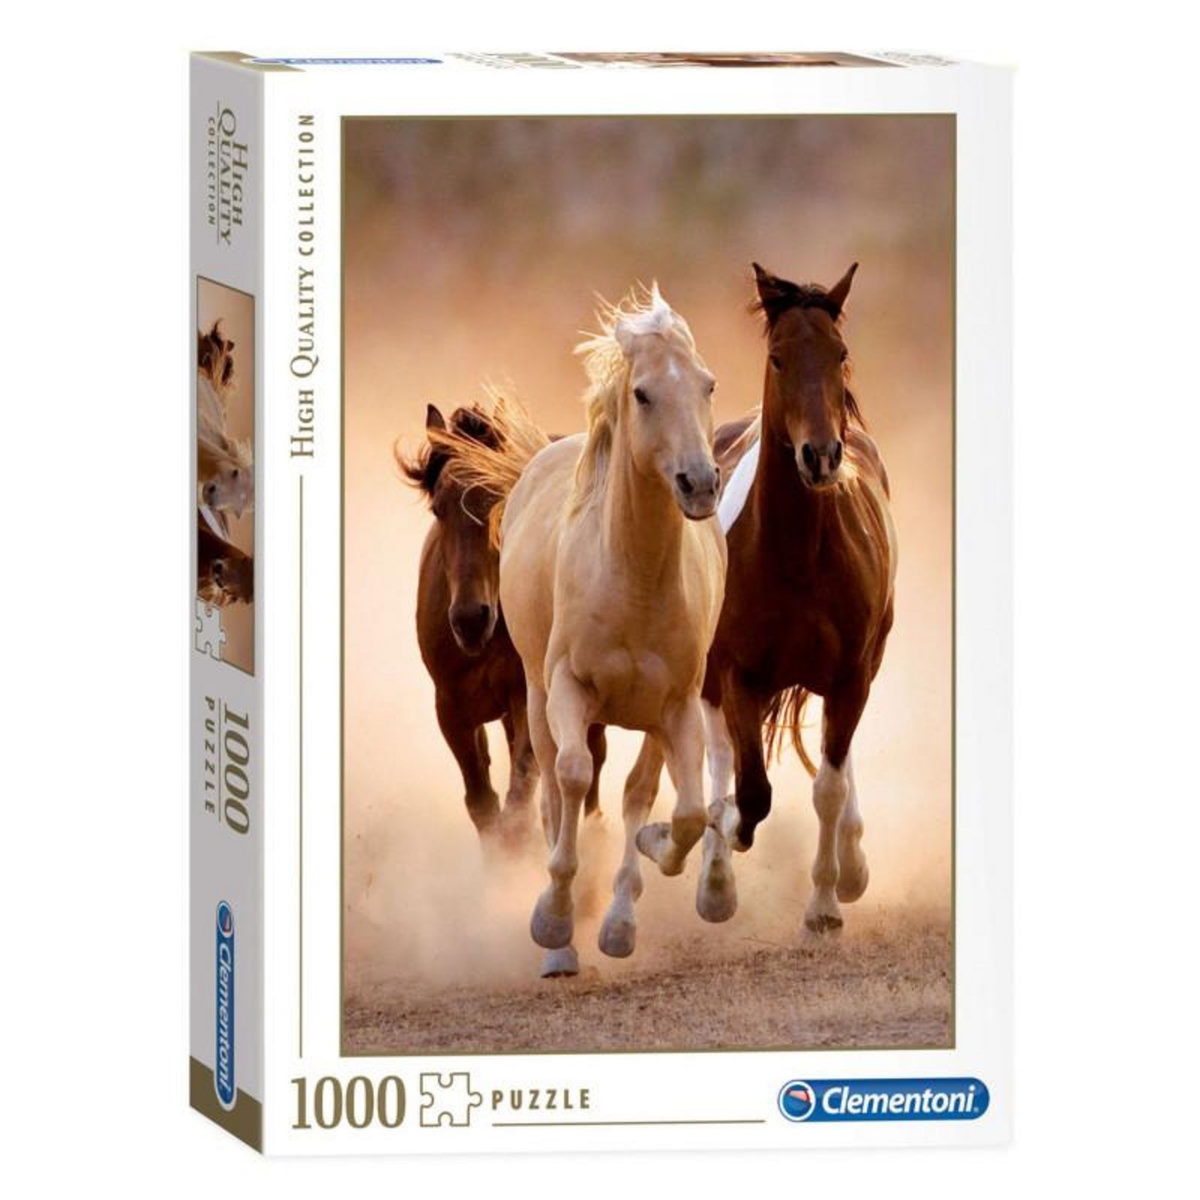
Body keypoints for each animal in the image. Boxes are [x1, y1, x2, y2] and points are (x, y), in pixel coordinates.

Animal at [398, 401, 607, 852]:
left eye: (500, 499)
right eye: (438, 508)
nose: (469, 619)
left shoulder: (526, 697)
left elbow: (518, 802)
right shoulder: (452, 709)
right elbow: (483, 803)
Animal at [451, 286, 727, 975]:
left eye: (707, 384)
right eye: (643, 394)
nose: (700, 483)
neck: (633, 579)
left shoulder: (677, 707)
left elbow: (676, 811)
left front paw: (639, 885)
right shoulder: (568, 690)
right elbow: (571, 780)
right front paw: (552, 919)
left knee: (634, 792)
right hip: (535, 696)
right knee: (554, 787)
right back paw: (561, 943)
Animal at [682, 262, 897, 938]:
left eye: (840, 353)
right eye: (778, 358)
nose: (821, 456)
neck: (800, 556)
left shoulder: (851, 674)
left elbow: (827, 785)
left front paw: (827, 901)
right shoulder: (737, 674)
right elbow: (751, 790)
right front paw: (724, 842)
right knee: (721, 755)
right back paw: (715, 879)